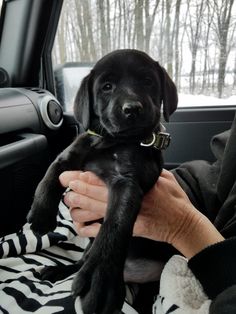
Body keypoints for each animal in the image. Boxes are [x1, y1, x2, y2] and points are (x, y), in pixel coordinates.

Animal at [27, 50, 177, 312]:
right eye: (107, 87)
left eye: (148, 81)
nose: (132, 109)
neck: (109, 141)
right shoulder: (69, 156)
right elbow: (49, 176)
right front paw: (42, 214)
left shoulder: (127, 183)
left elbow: (115, 224)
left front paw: (101, 280)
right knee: (82, 260)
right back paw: (58, 270)